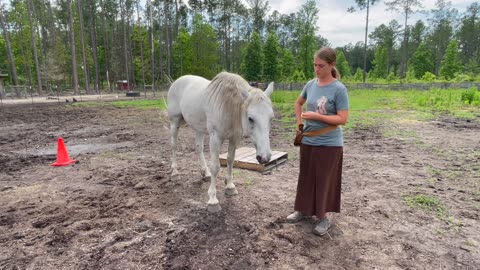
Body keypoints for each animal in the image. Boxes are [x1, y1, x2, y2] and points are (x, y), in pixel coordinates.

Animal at [168, 71, 274, 213]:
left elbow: (230, 160)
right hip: (174, 122)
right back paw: (175, 172)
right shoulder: (215, 138)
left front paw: (230, 186)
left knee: (198, 148)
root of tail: (177, 81)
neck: (227, 107)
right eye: (250, 118)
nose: (264, 157)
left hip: (198, 127)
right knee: (174, 145)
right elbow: (215, 166)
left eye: (271, 118)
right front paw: (213, 200)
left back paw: (205, 173)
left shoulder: (234, 138)